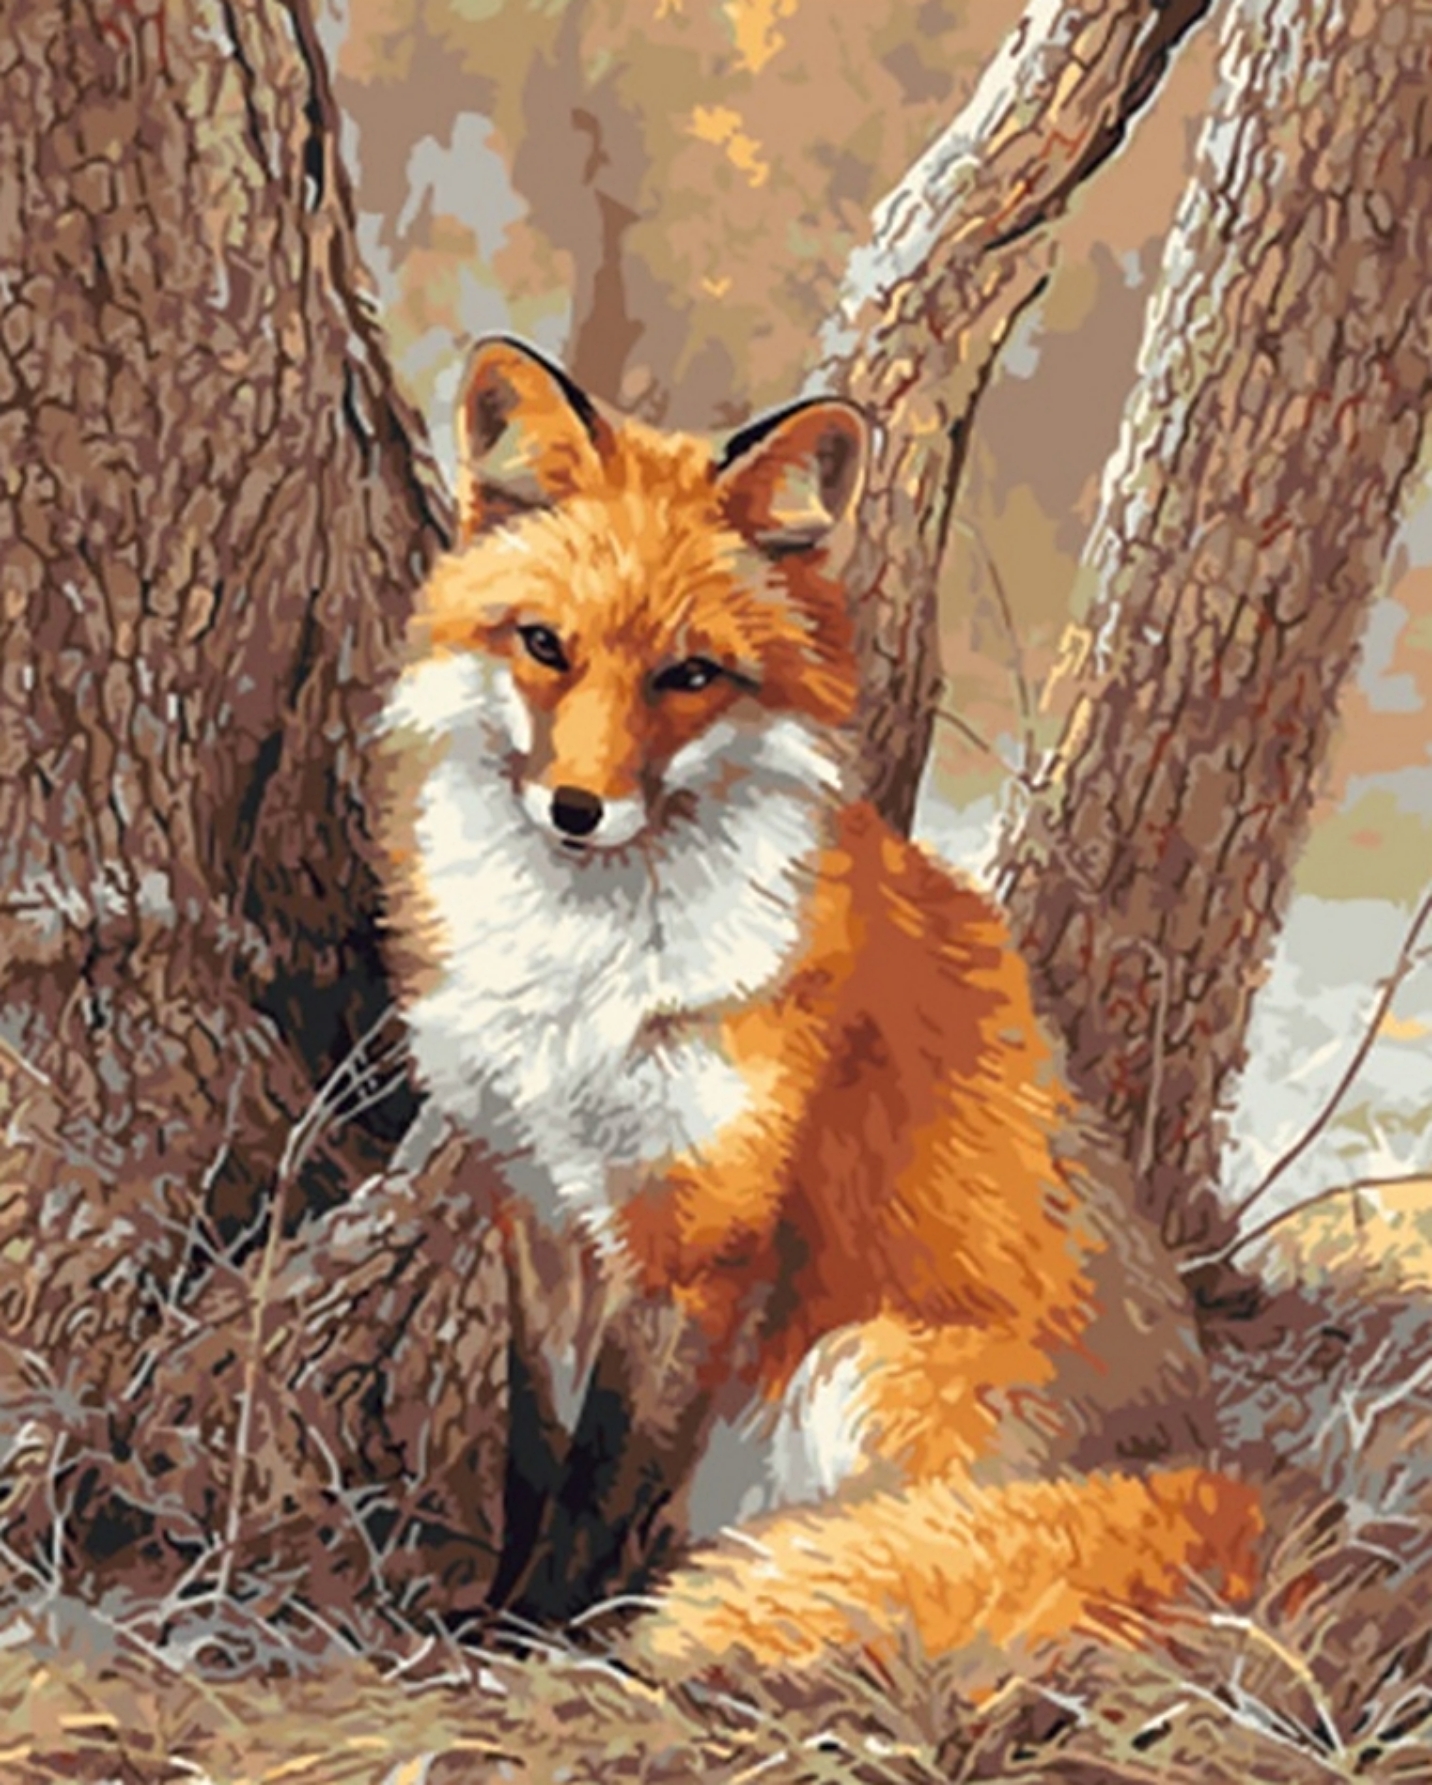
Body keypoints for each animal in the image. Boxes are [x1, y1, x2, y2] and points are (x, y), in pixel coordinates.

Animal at [375, 335, 1262, 1679]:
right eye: (544, 645)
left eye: (689, 675)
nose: (577, 809)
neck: (580, 980)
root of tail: (1212, 1473)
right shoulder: (537, 1201)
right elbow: (538, 1450)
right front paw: (496, 1607)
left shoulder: (697, 1235)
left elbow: (603, 1469)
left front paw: (537, 1635)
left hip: (863, 1364)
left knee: (898, 1556)